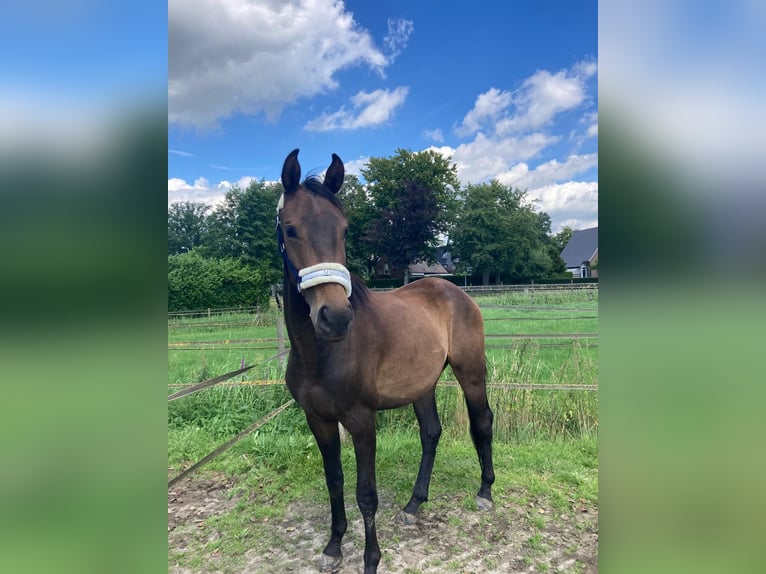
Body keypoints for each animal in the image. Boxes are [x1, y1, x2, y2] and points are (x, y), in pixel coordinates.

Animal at [280, 150, 496, 574]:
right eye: (290, 228)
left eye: (344, 230)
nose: (335, 317)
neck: (320, 354)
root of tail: (453, 289)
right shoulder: (318, 420)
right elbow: (334, 480)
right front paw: (333, 547)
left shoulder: (362, 420)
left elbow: (366, 494)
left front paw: (370, 560)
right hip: (423, 385)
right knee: (431, 433)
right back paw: (414, 505)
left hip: (470, 372)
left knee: (482, 421)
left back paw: (485, 492)